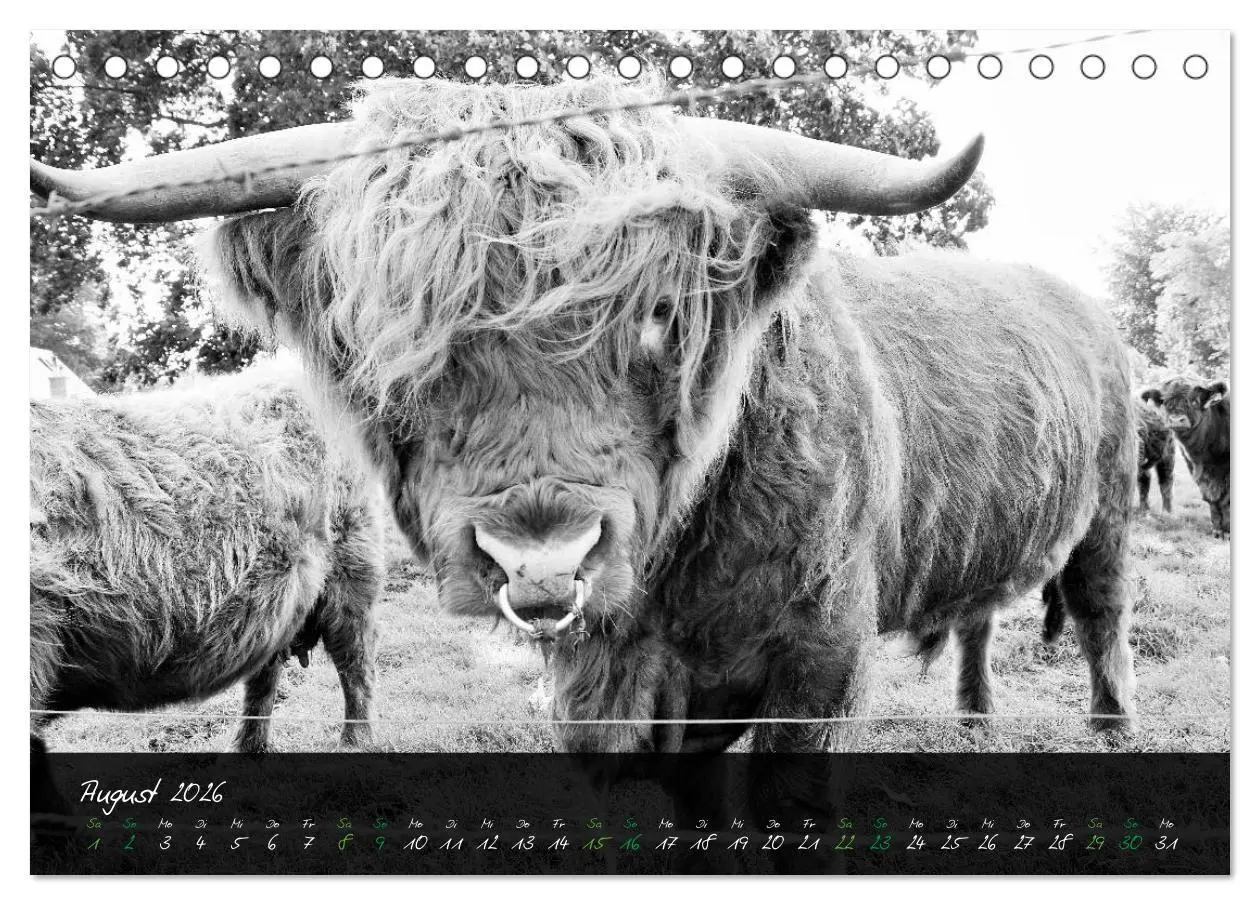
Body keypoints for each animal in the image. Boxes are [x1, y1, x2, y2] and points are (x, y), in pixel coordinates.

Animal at [30, 365, 385, 754]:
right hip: (280, 601)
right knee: (265, 672)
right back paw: (247, 747)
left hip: (352, 569)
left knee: (355, 663)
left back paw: (354, 743)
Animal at [1142, 378, 1230, 538]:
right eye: (1165, 401)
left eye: (1194, 401)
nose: (1176, 420)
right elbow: (1212, 500)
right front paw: (1217, 530)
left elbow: (1226, 500)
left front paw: (1226, 532)